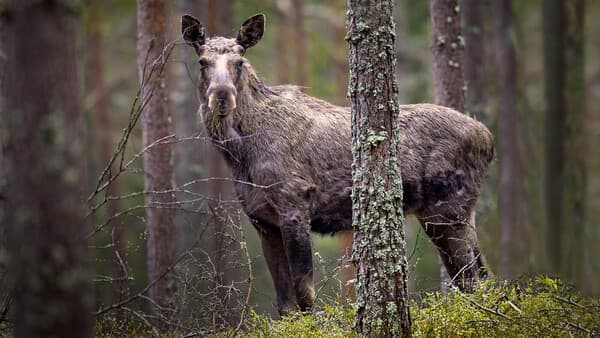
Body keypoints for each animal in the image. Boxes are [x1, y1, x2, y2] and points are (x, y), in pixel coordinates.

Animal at [180, 13, 494, 314]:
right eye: (202, 61)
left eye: (240, 60)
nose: (222, 95)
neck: (240, 154)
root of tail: (488, 139)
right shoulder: (262, 221)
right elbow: (285, 305)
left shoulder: (295, 206)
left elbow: (305, 295)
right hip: (454, 214)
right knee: (482, 276)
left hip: (447, 211)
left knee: (471, 281)